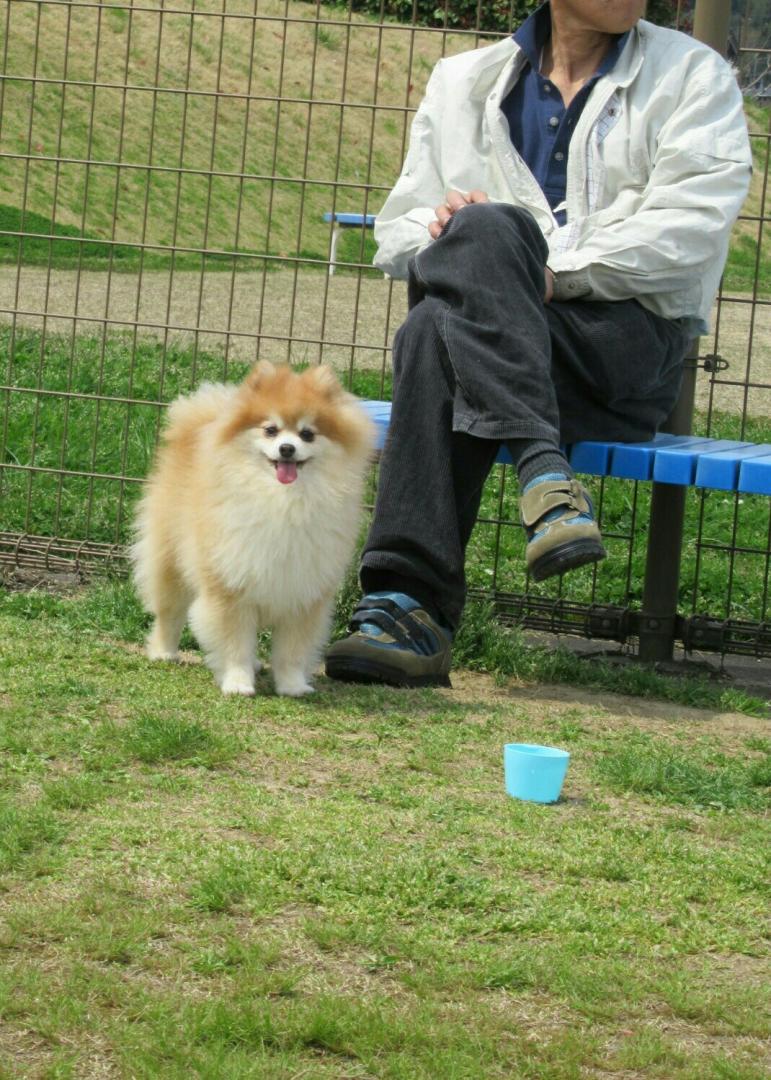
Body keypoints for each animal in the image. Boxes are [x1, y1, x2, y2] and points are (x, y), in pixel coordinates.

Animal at [130, 361, 375, 697]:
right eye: (270, 429)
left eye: (307, 434)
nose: (287, 448)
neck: (283, 501)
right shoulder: (230, 586)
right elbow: (234, 644)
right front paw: (237, 682)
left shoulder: (302, 592)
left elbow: (292, 651)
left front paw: (292, 685)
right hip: (171, 562)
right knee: (169, 611)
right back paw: (164, 652)